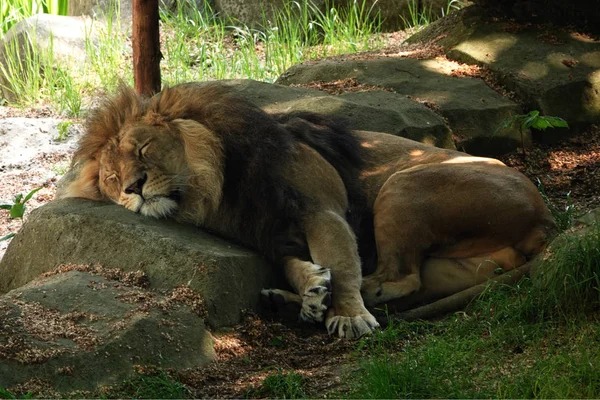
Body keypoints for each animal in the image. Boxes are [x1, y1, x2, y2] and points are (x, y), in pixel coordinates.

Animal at [58, 81, 556, 338]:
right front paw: (312, 289)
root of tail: (544, 219)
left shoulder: (320, 209)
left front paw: (348, 314)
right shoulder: (270, 234)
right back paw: (288, 302)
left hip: (403, 184)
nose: (133, 187)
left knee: (398, 276)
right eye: (110, 179)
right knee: (411, 282)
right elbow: (298, 264)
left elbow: (340, 258)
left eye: (142, 149)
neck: (216, 193)